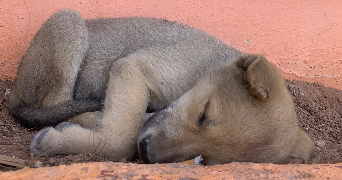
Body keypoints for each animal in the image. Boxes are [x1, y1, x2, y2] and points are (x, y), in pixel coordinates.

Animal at [7, 9, 316, 165]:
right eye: (204, 114)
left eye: (206, 160)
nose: (146, 154)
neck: (205, 68)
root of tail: (14, 91)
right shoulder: (134, 67)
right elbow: (119, 140)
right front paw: (58, 140)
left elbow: (129, 125)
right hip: (68, 24)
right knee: (52, 103)